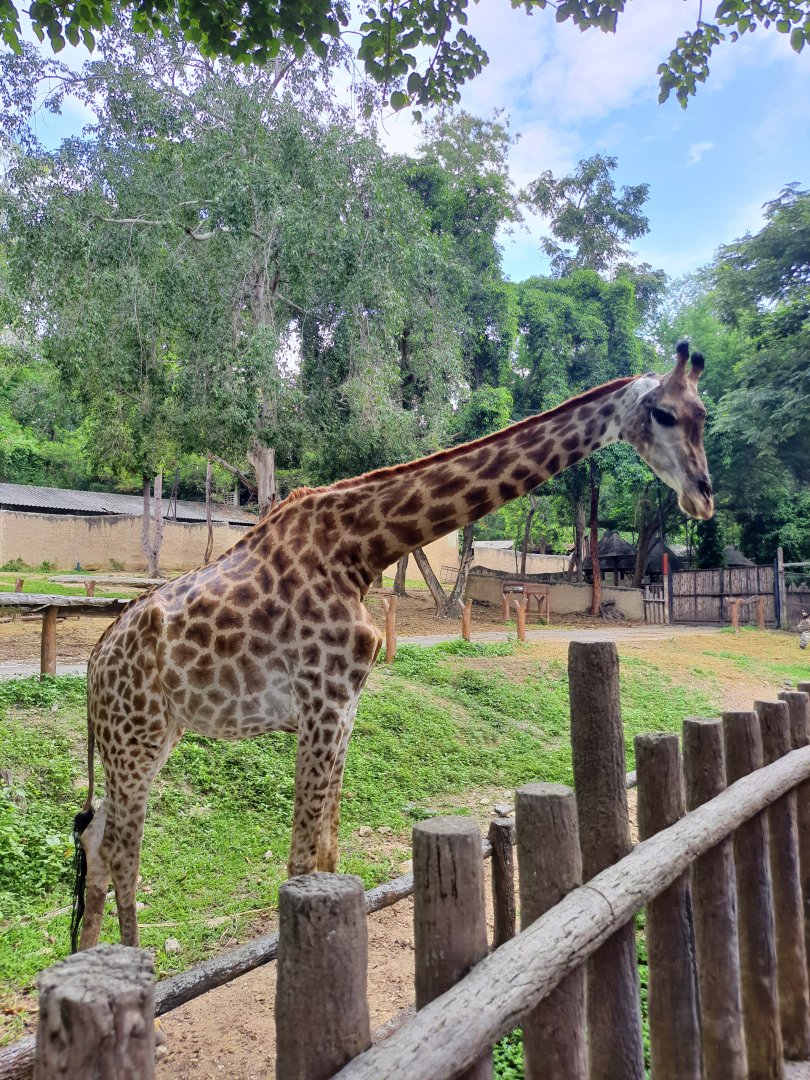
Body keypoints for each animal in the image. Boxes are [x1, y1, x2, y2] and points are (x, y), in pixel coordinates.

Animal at [71, 341, 713, 950]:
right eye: (664, 413)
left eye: (702, 414)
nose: (703, 496)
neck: (360, 550)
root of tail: (94, 666)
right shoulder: (321, 703)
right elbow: (300, 861)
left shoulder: (344, 707)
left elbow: (327, 853)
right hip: (137, 738)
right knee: (123, 850)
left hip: (151, 737)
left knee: (97, 841)